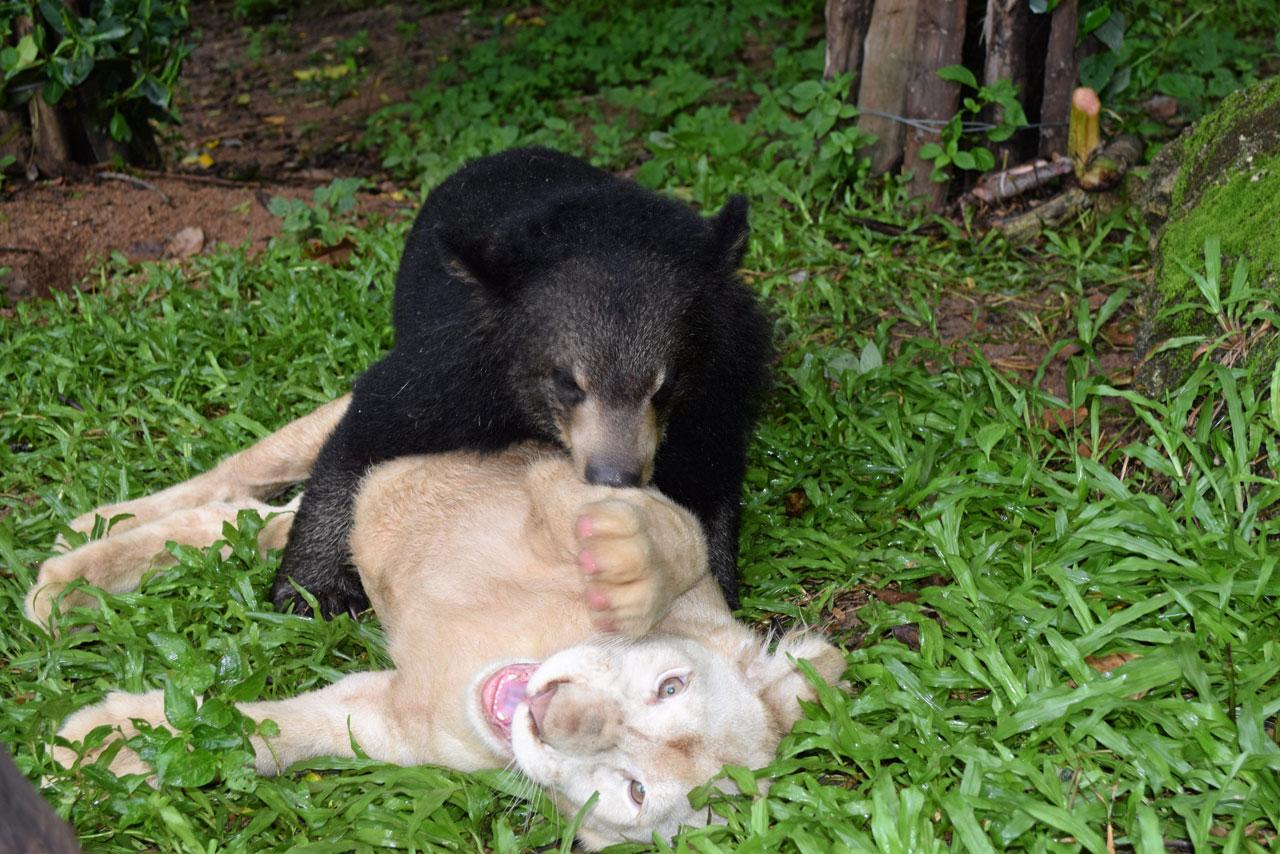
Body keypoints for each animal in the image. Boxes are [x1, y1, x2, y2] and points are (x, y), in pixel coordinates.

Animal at [272, 147, 768, 614]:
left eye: (663, 388)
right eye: (568, 384)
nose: (615, 476)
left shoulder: (719, 382)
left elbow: (709, 471)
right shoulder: (458, 371)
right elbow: (370, 426)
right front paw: (312, 588)